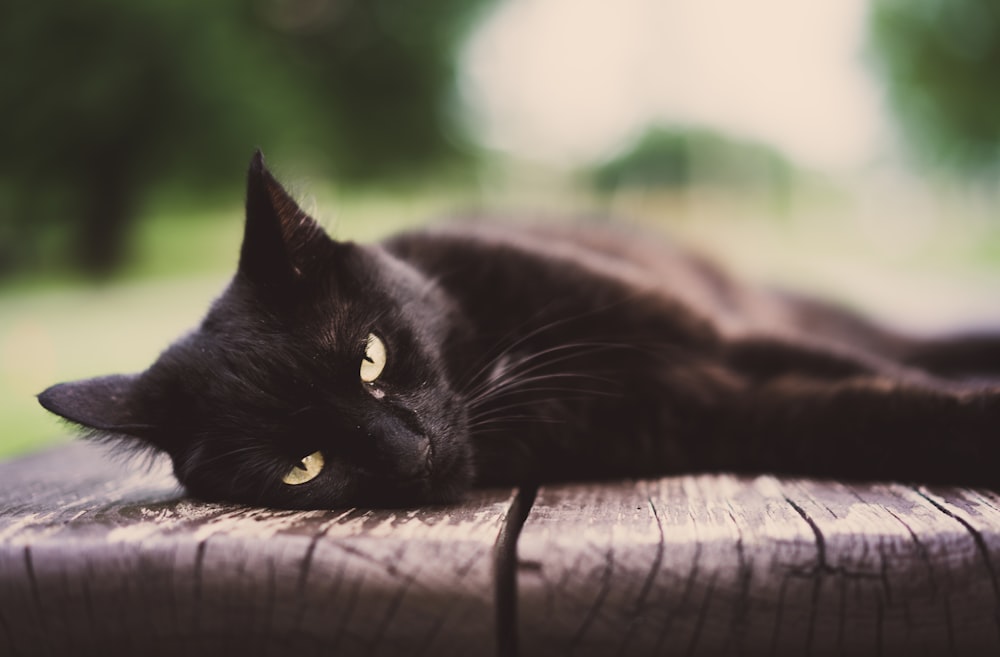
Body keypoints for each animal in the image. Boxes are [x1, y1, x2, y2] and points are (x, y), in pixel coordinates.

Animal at [37, 152, 1000, 508]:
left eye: (371, 356)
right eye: (300, 465)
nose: (410, 450)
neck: (500, 359)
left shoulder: (721, 341)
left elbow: (891, 384)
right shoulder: (720, 406)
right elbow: (865, 414)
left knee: (899, 343)